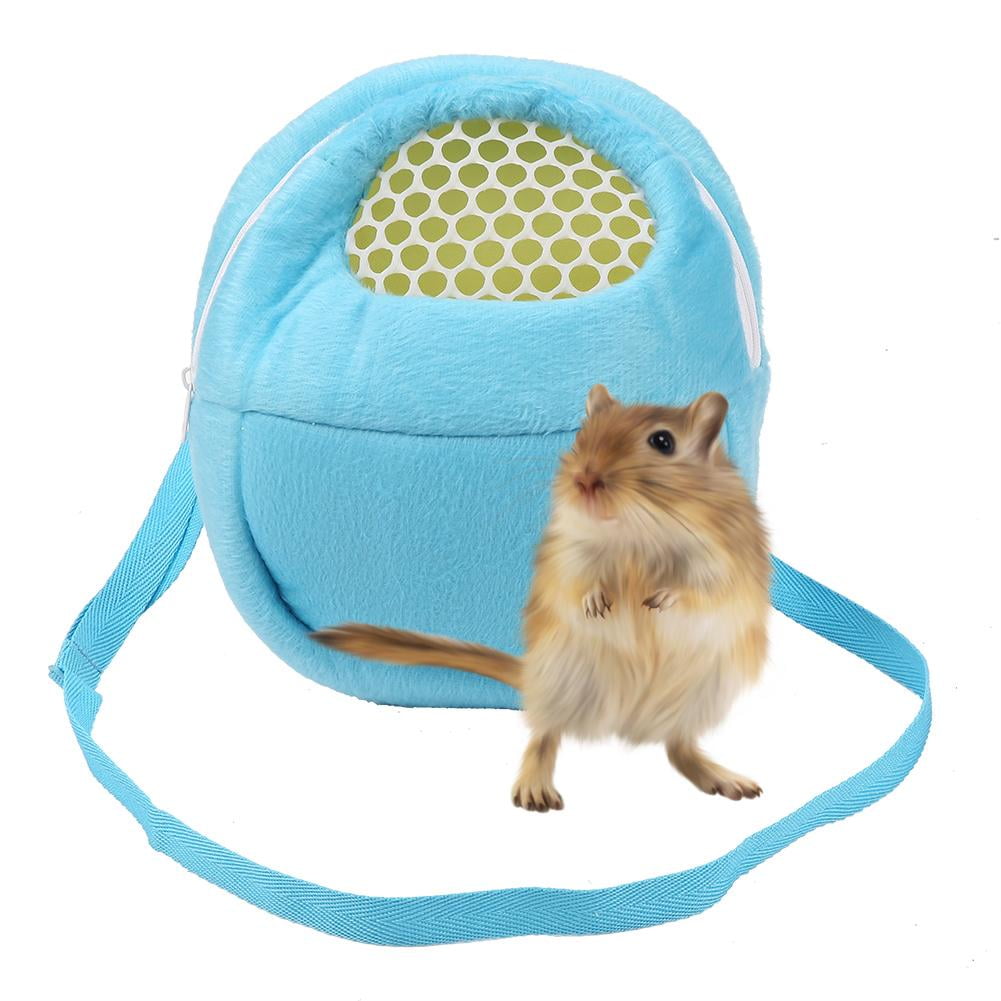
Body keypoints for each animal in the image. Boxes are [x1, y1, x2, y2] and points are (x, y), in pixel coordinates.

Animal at [312, 386, 771, 811]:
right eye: (583, 434)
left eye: (663, 442)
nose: (584, 480)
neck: (636, 533)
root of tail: (626, 722)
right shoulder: (567, 553)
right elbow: (577, 583)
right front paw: (598, 605)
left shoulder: (725, 560)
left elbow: (701, 589)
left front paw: (657, 601)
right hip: (563, 677)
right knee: (544, 735)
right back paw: (535, 790)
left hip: (698, 697)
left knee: (679, 748)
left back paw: (728, 780)